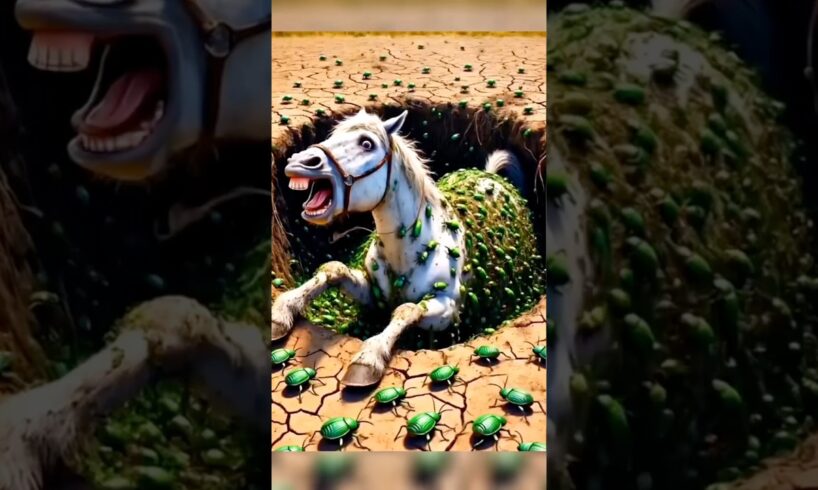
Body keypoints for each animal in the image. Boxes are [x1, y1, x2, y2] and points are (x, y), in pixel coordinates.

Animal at [273, 108, 544, 387]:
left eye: (367, 143)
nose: (299, 161)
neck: (408, 249)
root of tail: (491, 176)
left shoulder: (448, 310)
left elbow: (406, 309)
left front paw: (368, 359)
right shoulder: (372, 292)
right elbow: (333, 269)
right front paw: (281, 312)